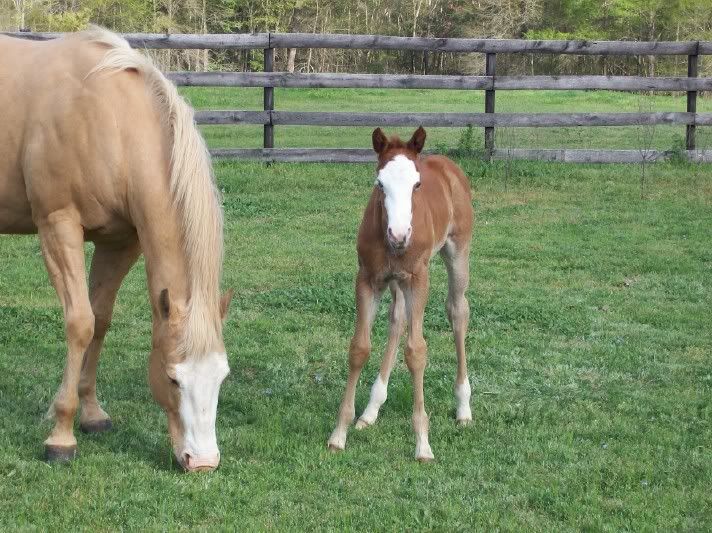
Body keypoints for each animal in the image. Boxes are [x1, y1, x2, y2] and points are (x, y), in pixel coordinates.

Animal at [0, 29, 234, 470]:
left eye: (222, 376)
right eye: (173, 377)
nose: (202, 461)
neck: (107, 119)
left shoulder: (120, 241)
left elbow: (101, 320)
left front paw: (92, 415)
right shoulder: (58, 227)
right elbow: (80, 323)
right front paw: (61, 436)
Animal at [328, 127, 472, 460]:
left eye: (417, 184)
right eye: (380, 183)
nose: (399, 235)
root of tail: (449, 165)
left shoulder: (418, 279)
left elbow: (417, 352)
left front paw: (422, 443)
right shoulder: (367, 279)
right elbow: (359, 348)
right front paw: (339, 433)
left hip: (457, 252)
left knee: (458, 311)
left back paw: (463, 407)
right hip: (395, 281)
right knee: (398, 319)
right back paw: (370, 411)